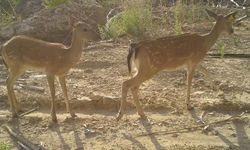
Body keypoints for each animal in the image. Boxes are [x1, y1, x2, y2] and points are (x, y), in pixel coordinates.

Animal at [116, 9, 246, 120]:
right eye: (229, 22)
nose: (232, 31)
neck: (205, 44)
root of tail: (134, 47)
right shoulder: (193, 61)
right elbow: (189, 82)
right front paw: (189, 105)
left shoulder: (194, 62)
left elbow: (206, 71)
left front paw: (218, 90)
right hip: (149, 68)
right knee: (126, 83)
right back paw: (120, 115)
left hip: (140, 68)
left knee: (133, 86)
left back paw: (141, 113)